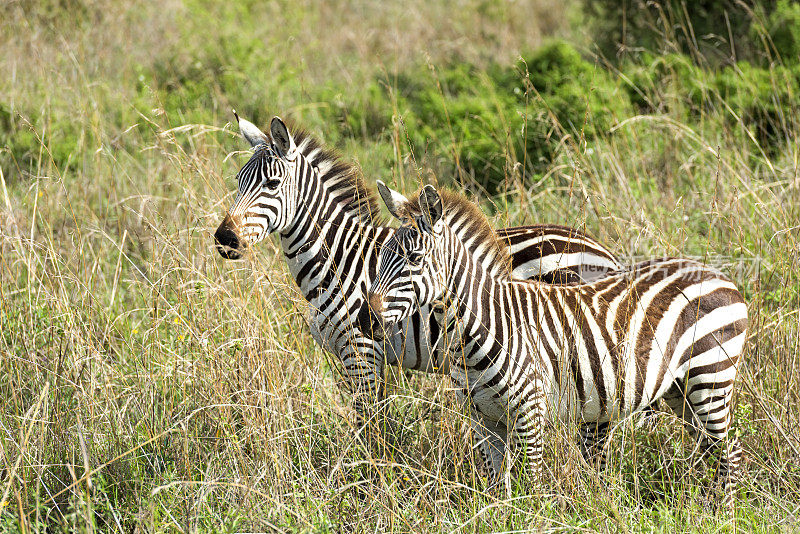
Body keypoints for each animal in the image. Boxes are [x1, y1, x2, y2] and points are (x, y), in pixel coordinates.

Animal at [214, 115, 624, 426]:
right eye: (237, 180)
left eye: (272, 183)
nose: (224, 238)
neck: (339, 261)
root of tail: (605, 252)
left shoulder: (361, 351)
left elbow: (369, 427)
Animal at [362, 182, 752, 508]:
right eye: (380, 255)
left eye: (414, 260)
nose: (368, 320)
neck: (483, 327)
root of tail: (717, 274)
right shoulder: (483, 417)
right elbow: (497, 486)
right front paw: (500, 517)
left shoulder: (529, 411)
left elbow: (530, 483)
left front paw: (531, 518)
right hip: (680, 389)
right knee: (714, 449)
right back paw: (710, 508)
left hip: (710, 378)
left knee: (729, 451)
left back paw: (725, 515)